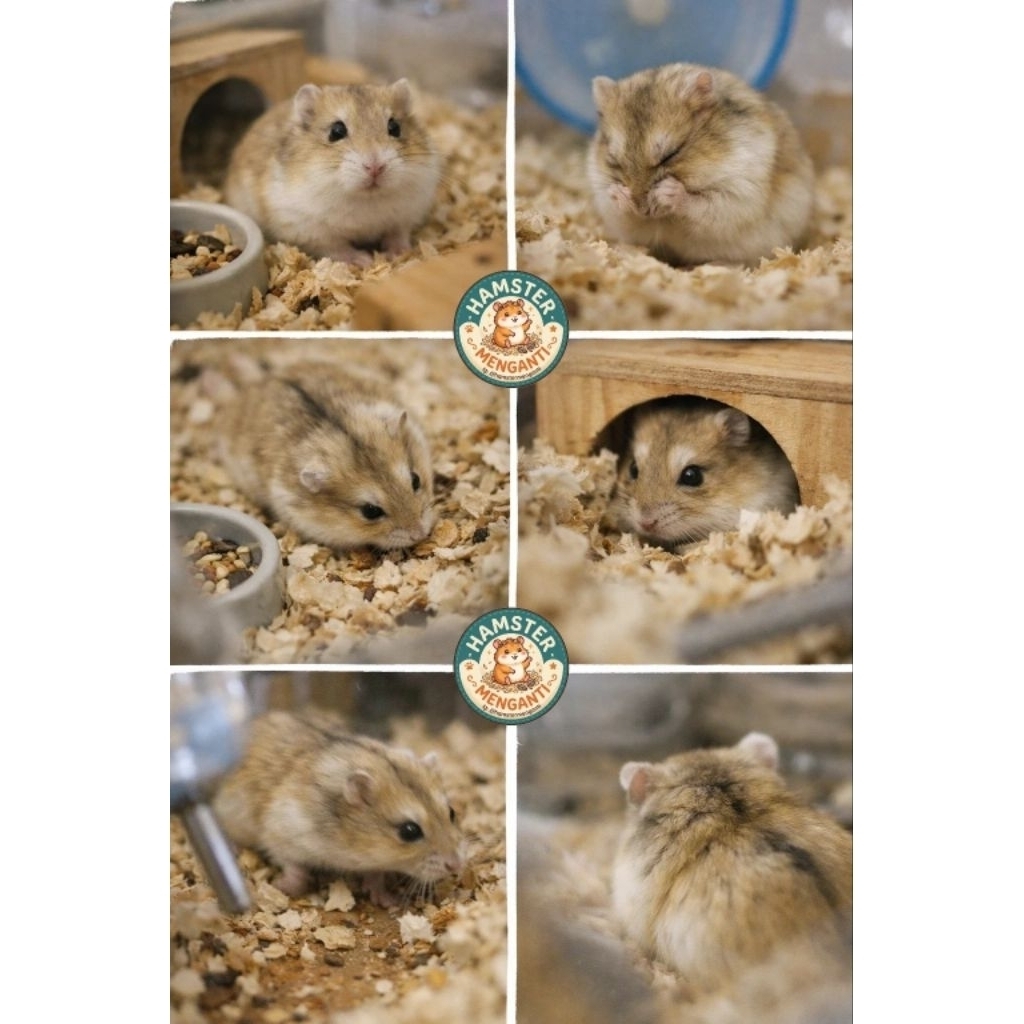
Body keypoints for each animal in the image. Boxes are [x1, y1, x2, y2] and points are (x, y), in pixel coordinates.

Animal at [213, 709, 465, 902]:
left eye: (452, 813)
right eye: (409, 831)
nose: (456, 866)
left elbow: (376, 875)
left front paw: (386, 900)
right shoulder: (281, 834)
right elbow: (295, 869)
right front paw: (280, 887)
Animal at [224, 80, 441, 265]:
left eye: (395, 127)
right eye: (336, 131)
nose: (375, 168)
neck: (367, 199)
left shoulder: (405, 215)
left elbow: (397, 233)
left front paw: (399, 253)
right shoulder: (309, 229)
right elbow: (338, 248)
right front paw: (364, 261)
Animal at [587, 63, 815, 267]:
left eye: (671, 154)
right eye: (613, 159)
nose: (643, 210)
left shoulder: (738, 193)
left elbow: (702, 204)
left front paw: (667, 191)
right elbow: (623, 214)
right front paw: (619, 193)